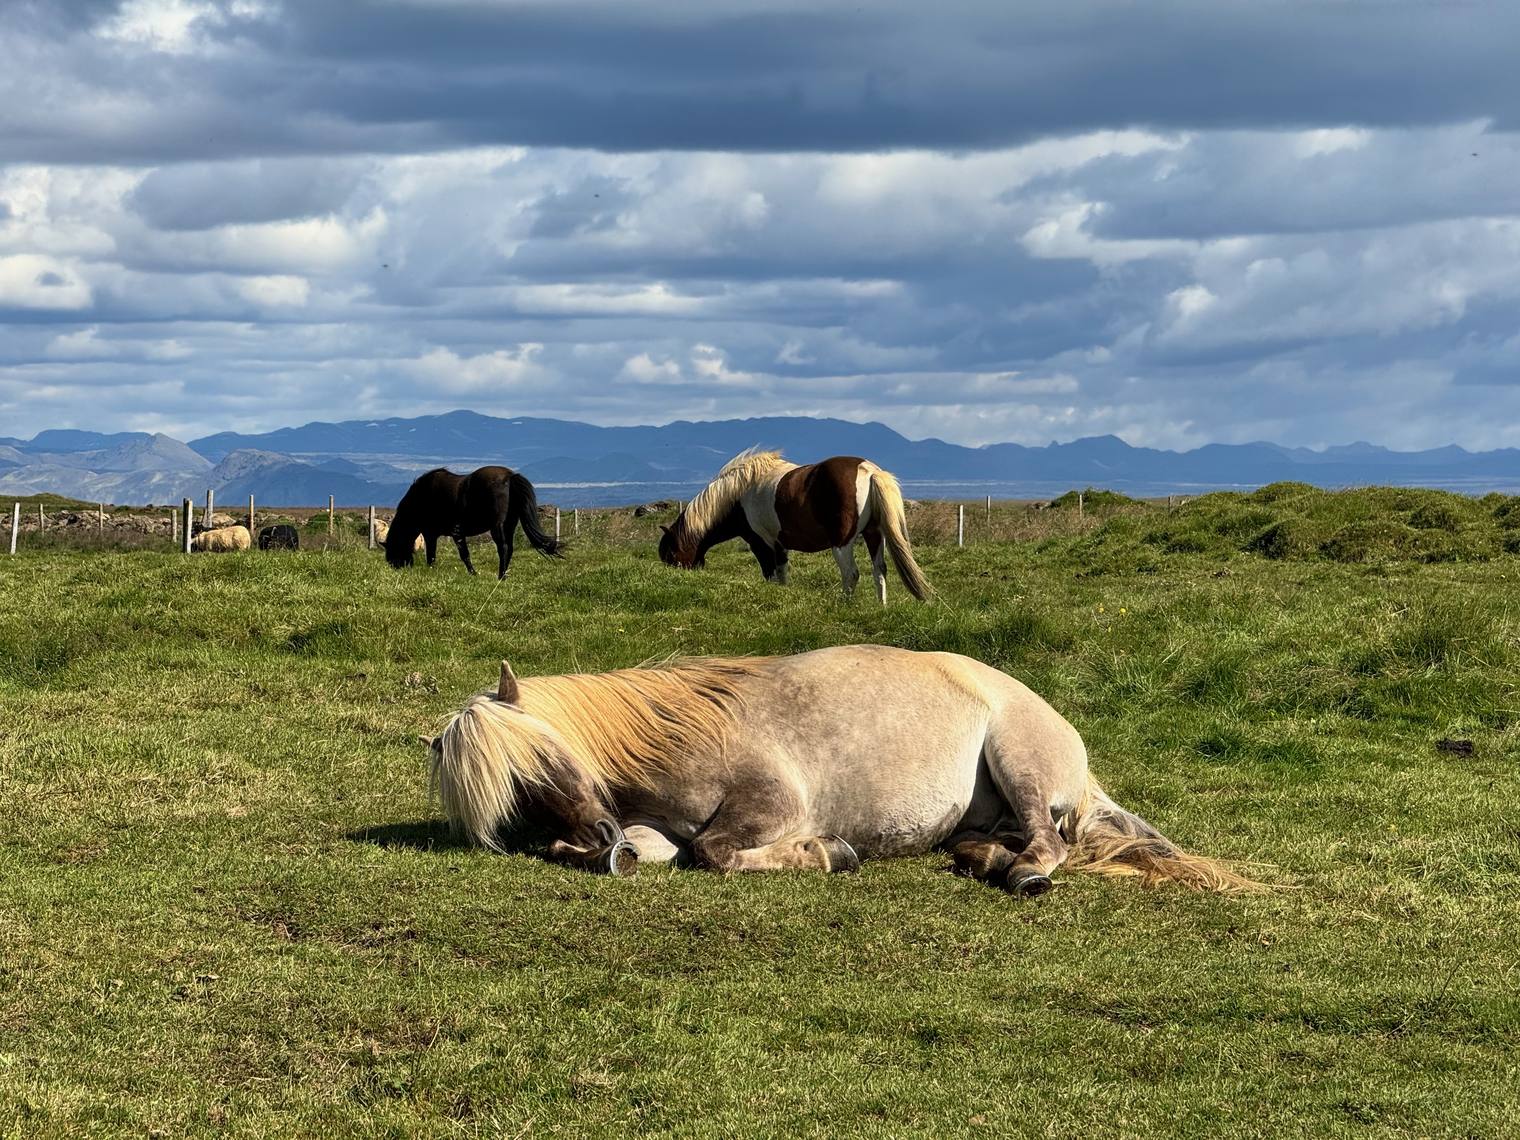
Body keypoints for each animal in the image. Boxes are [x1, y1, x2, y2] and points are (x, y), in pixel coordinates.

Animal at [384, 466, 563, 579]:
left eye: (393, 550)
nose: (397, 568)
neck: (421, 498)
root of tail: (510, 477)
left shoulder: (439, 534)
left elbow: (448, 555)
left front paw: (472, 573)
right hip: (509, 525)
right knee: (510, 548)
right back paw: (504, 574)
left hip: (497, 527)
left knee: (503, 548)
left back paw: (501, 577)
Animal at [426, 645, 1259, 896]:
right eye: (514, 792)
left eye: (542, 759)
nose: (600, 834)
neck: (685, 734)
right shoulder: (650, 828)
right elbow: (661, 850)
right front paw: (596, 853)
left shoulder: (767, 809)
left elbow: (717, 852)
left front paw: (828, 853)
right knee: (996, 841)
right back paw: (989, 860)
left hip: (1020, 763)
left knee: (1048, 844)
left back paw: (1022, 873)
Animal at [658, 450, 932, 603]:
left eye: (671, 554)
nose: (674, 580)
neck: (739, 495)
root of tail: (869, 471)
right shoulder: (780, 545)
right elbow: (782, 574)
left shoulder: (764, 544)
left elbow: (772, 574)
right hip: (874, 535)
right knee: (879, 571)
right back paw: (881, 607)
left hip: (842, 543)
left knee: (851, 573)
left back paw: (845, 606)